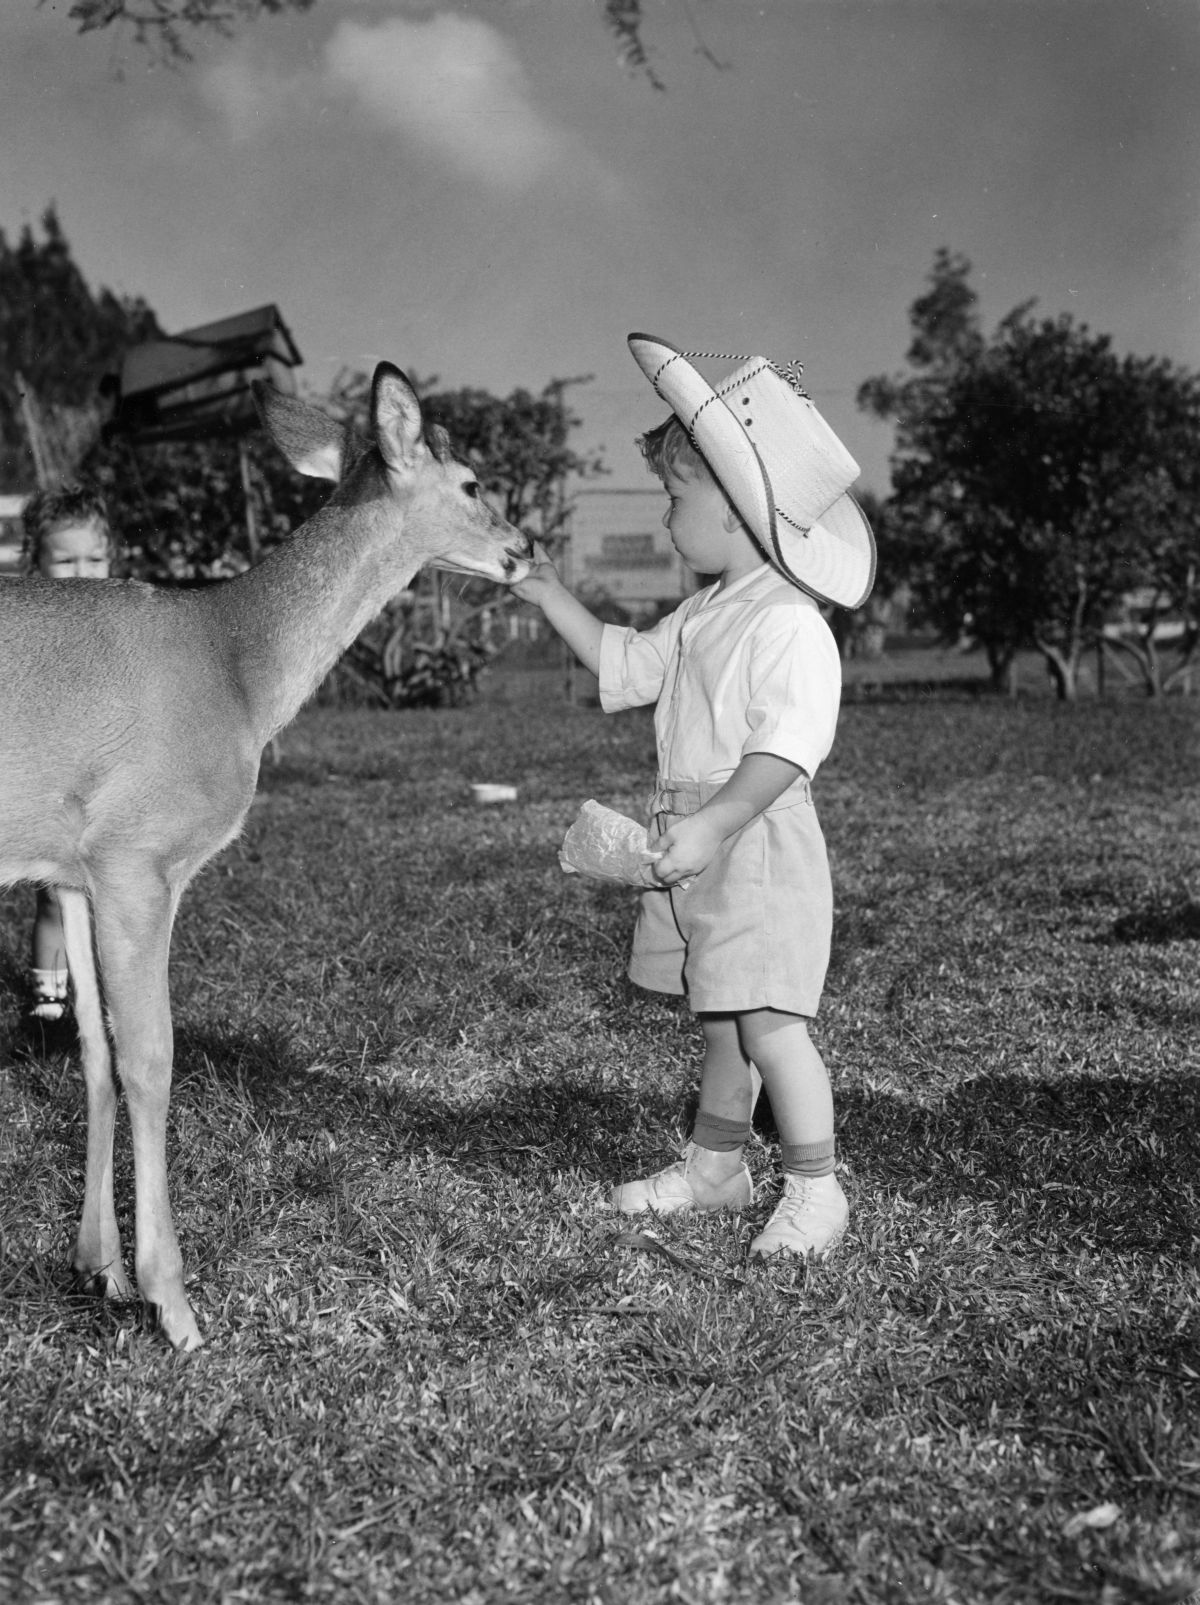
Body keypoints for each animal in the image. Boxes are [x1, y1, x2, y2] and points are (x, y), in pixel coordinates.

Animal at [0, 362, 533, 1351]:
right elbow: (151, 1060)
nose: (524, 550)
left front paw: (100, 1267)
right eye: (475, 481)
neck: (235, 664)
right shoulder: (139, 853)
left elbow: (93, 1052)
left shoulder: (71, 865)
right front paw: (174, 1303)